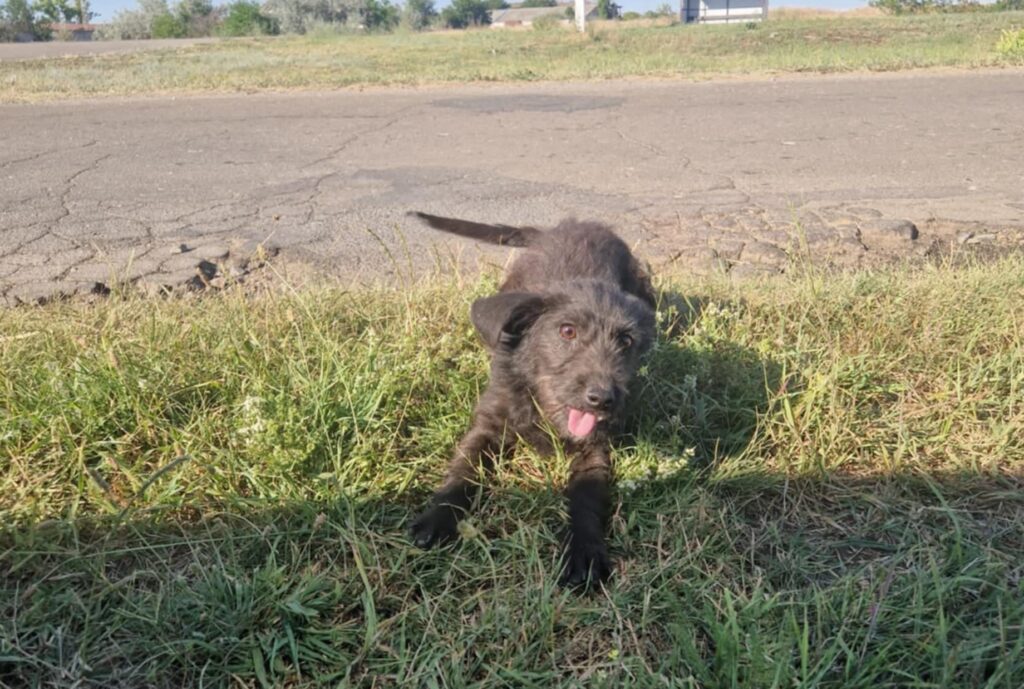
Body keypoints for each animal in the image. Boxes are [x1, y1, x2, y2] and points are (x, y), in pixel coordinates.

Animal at [407, 209, 655, 585]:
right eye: (567, 331)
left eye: (626, 341)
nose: (603, 399)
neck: (542, 409)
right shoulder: (488, 425)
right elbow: (464, 469)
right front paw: (439, 516)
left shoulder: (595, 450)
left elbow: (586, 499)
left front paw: (585, 551)